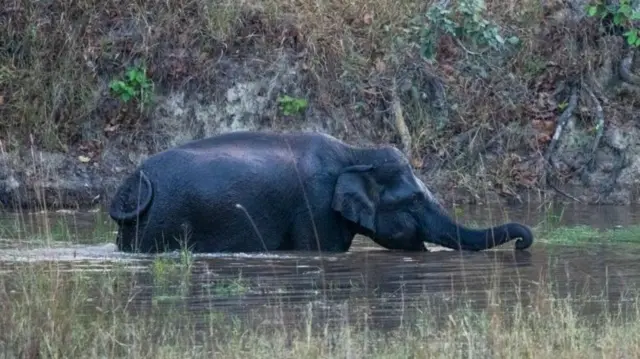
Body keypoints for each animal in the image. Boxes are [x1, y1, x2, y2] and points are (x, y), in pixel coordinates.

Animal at [107, 131, 532, 253]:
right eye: (413, 200)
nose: (522, 242)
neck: (356, 153)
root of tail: (133, 181)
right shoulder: (315, 208)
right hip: (164, 222)